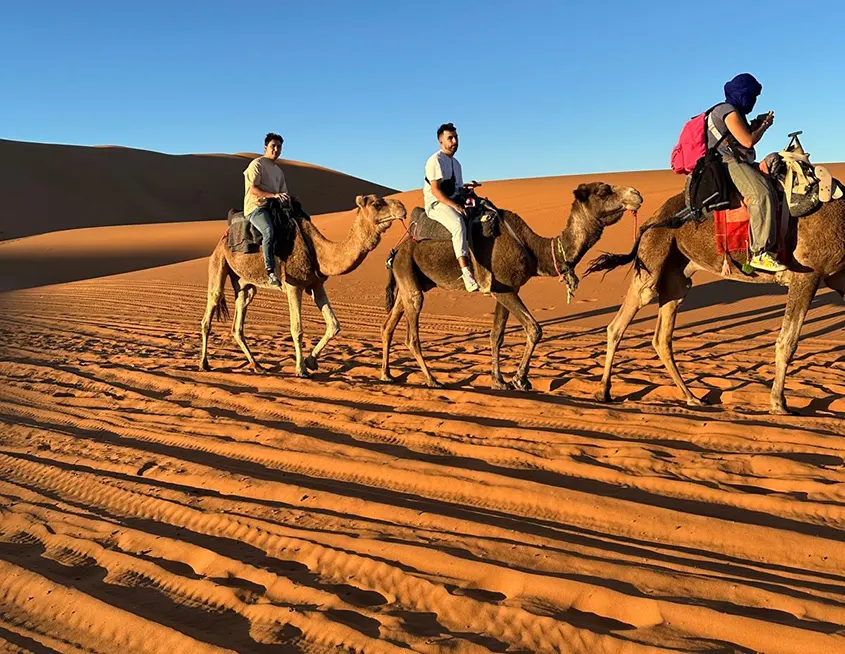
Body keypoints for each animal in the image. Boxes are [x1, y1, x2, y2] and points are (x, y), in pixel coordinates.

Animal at [201, 195, 406, 376]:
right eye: (377, 204)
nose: (402, 208)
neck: (318, 251)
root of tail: (223, 238)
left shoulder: (316, 285)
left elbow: (334, 325)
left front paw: (311, 361)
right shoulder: (293, 285)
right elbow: (297, 329)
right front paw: (301, 369)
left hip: (244, 284)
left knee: (238, 322)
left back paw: (257, 366)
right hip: (218, 263)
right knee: (210, 308)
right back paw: (204, 364)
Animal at [380, 182, 640, 392]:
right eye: (603, 191)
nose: (636, 194)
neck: (534, 249)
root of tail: (396, 251)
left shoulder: (506, 289)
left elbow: (497, 335)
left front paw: (499, 380)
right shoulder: (502, 289)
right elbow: (534, 329)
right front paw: (520, 379)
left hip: (410, 281)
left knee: (389, 324)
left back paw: (387, 374)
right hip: (410, 278)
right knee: (412, 336)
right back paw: (432, 380)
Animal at [588, 192, 844, 416]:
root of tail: (651, 218)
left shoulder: (837, 279)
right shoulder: (808, 274)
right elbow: (787, 342)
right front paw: (779, 404)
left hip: (678, 276)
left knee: (662, 337)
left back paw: (692, 397)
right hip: (652, 261)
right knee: (621, 322)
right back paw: (603, 392)